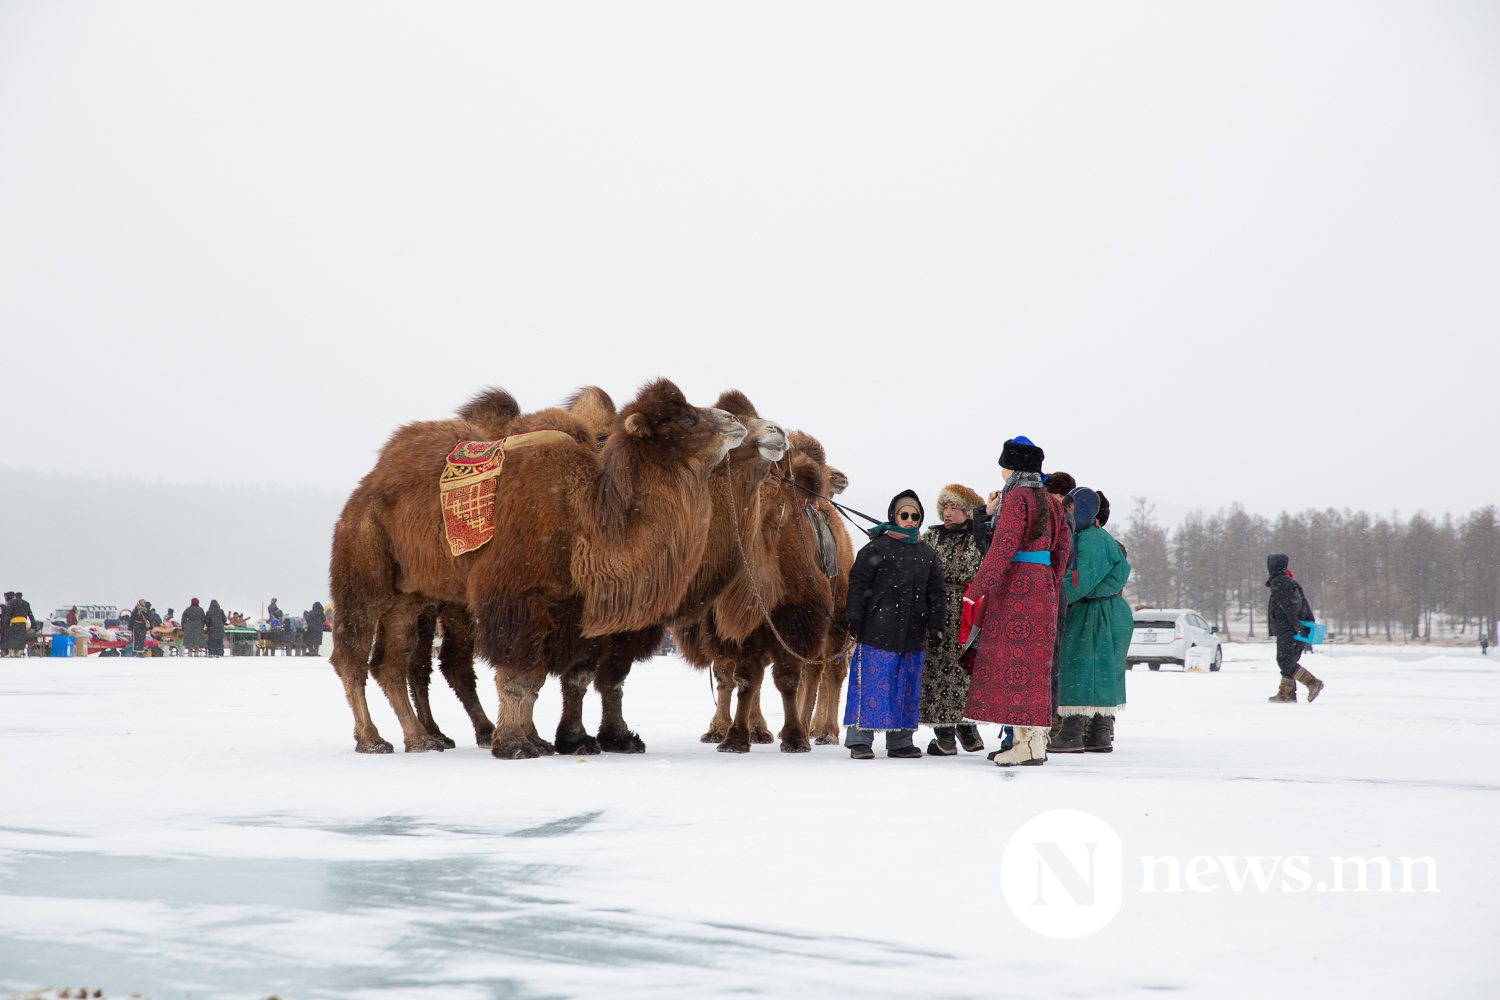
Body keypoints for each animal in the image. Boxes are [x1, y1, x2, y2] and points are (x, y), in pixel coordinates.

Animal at [331, 379, 747, 755]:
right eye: (686, 418)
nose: (735, 421)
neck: (583, 516)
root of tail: (366, 487)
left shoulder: (570, 604)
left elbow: (559, 676)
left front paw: (555, 740)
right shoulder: (514, 593)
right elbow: (521, 674)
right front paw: (516, 744)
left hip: (412, 593)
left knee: (390, 662)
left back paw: (421, 739)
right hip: (364, 560)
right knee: (354, 653)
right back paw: (374, 740)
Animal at [678, 431, 852, 749]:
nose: (840, 478)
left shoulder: (795, 614)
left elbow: (786, 676)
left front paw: (792, 736)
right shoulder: (732, 621)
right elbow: (738, 676)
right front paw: (729, 733)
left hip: (838, 618)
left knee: (828, 671)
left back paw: (824, 731)